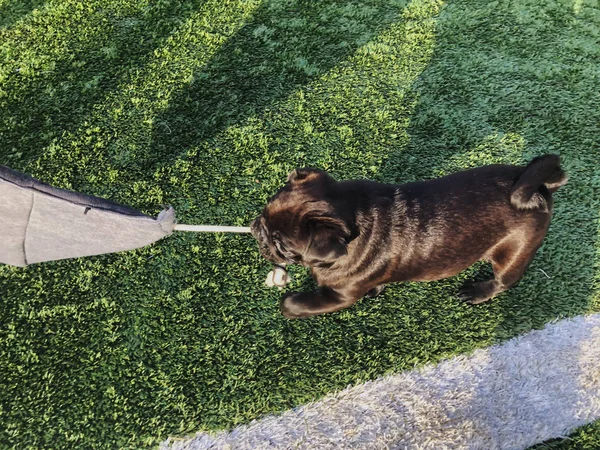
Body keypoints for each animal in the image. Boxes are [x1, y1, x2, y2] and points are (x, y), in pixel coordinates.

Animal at [250, 156, 568, 318]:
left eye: (282, 246)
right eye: (263, 214)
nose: (256, 229)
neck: (352, 214)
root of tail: (537, 187)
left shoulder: (340, 296)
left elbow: (293, 303)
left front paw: (288, 304)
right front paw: (376, 291)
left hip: (513, 254)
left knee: (504, 282)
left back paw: (478, 292)